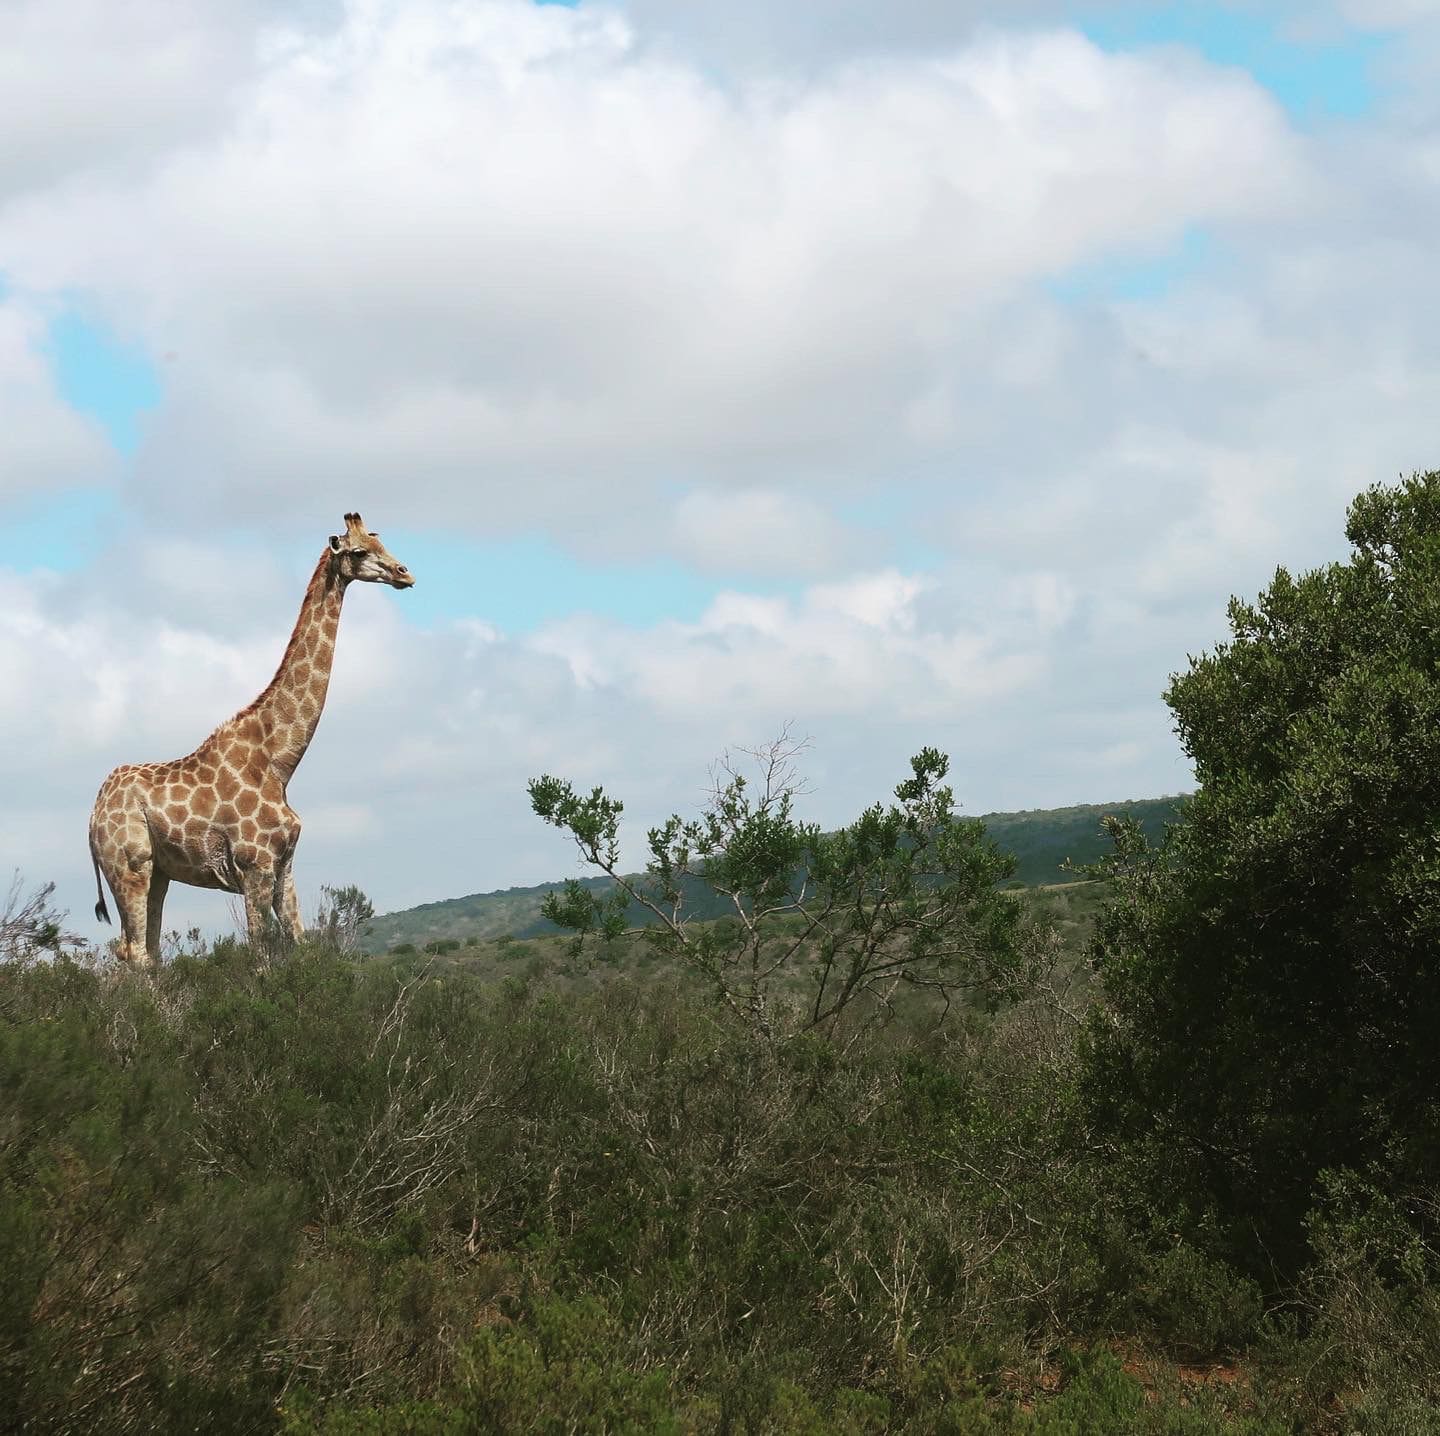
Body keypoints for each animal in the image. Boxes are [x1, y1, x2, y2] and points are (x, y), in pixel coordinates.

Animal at [88, 513, 415, 965]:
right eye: (358, 551)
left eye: (381, 541)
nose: (405, 574)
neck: (279, 761)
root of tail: (92, 816)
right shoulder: (254, 866)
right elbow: (260, 954)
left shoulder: (285, 866)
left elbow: (301, 944)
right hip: (129, 866)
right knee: (135, 951)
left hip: (159, 874)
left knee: (145, 949)